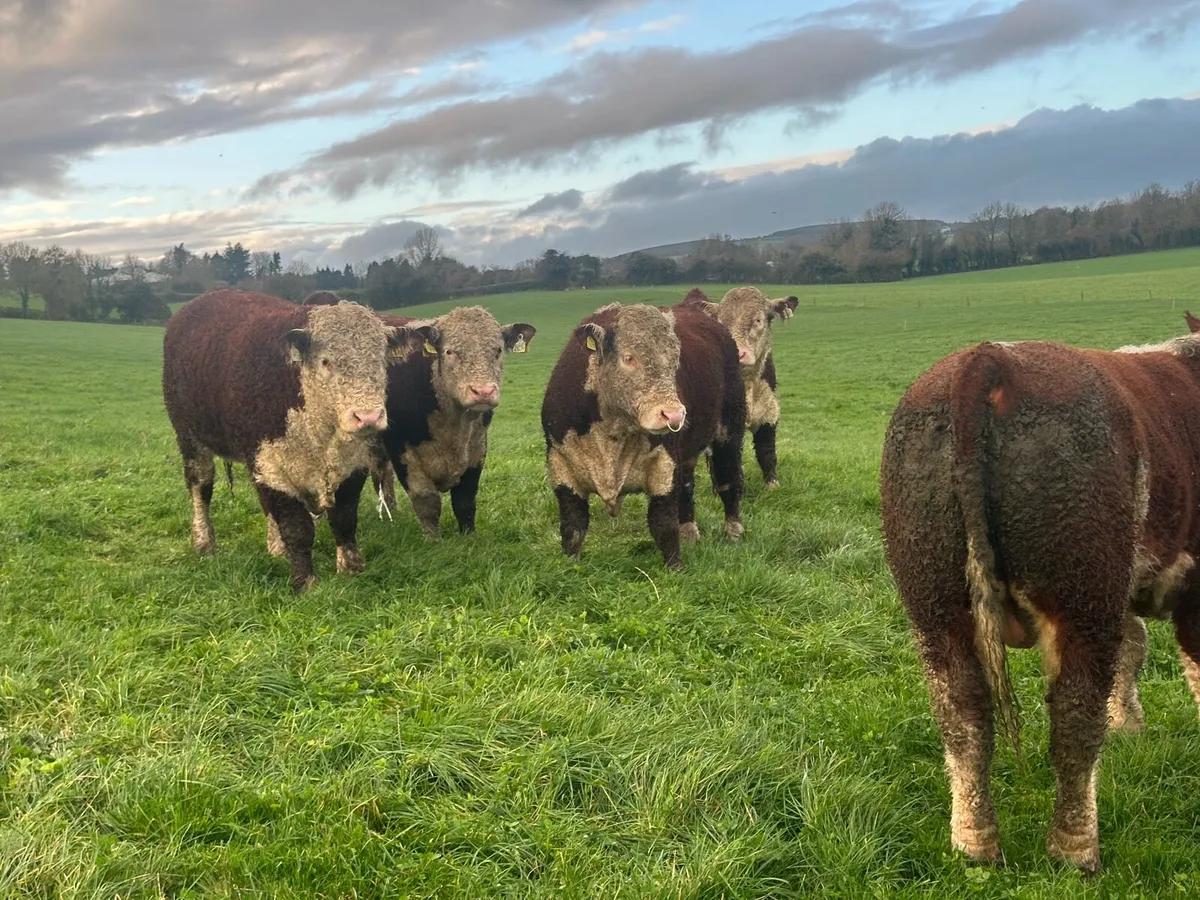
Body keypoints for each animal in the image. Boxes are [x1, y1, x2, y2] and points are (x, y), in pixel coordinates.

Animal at [162, 289, 422, 592]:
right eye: (325, 361)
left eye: (380, 361)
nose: (368, 416)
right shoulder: (271, 467)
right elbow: (297, 528)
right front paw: (305, 582)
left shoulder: (352, 463)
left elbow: (344, 518)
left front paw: (351, 568)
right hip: (191, 439)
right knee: (200, 487)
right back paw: (205, 543)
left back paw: (276, 547)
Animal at [371, 305, 536, 538]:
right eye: (449, 352)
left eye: (498, 351)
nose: (483, 391)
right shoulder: (401, 449)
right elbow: (427, 501)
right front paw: (433, 540)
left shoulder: (477, 447)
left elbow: (465, 500)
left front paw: (469, 536)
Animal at [541, 302, 746, 569]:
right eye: (629, 358)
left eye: (675, 361)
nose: (674, 415)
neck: (611, 433)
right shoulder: (561, 467)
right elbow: (573, 527)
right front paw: (569, 567)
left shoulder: (664, 466)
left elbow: (663, 524)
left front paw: (675, 568)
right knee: (687, 488)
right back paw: (689, 533)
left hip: (729, 431)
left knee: (728, 480)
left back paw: (734, 533)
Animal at [679, 287, 798, 487]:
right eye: (722, 324)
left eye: (758, 320)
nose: (736, 352)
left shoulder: (769, 412)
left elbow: (767, 452)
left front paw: (772, 485)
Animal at [880, 319, 1200, 873]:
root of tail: (989, 359)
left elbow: (1135, 648)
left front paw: (1130, 726)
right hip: (1082, 595)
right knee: (1074, 714)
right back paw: (1075, 851)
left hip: (934, 600)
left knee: (961, 713)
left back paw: (975, 845)